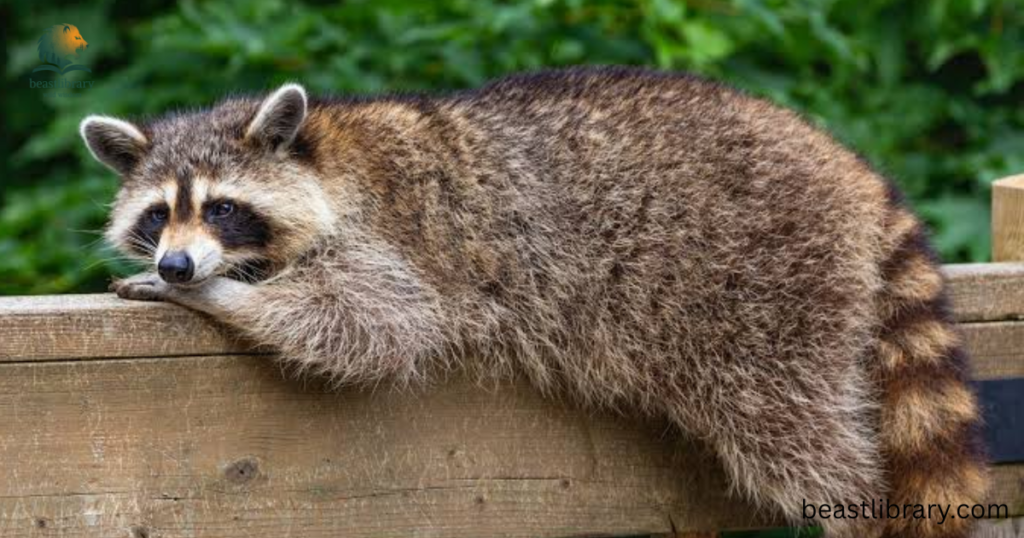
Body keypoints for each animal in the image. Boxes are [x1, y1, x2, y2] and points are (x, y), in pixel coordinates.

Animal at [80, 67, 987, 537]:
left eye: (222, 208)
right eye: (158, 214)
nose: (179, 265)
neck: (327, 153)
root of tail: (846, 164)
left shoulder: (397, 245)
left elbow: (369, 327)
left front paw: (225, 296)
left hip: (771, 290)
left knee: (799, 435)